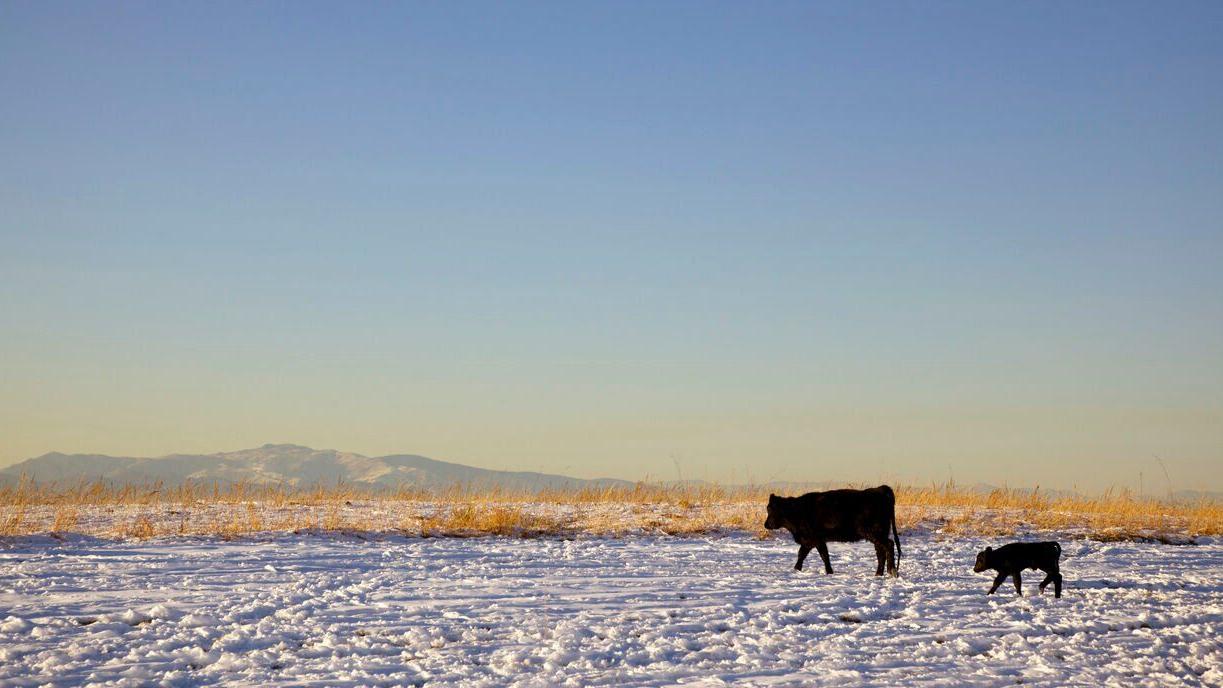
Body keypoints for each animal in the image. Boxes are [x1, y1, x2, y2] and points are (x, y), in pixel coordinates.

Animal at [763, 486, 900, 579]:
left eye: (771, 509)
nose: (766, 524)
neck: (796, 511)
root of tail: (879, 489)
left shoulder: (814, 539)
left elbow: (820, 555)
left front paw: (828, 571)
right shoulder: (812, 540)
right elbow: (806, 554)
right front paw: (797, 569)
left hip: (874, 533)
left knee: (889, 545)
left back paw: (892, 571)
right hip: (877, 534)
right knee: (881, 551)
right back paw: (878, 574)